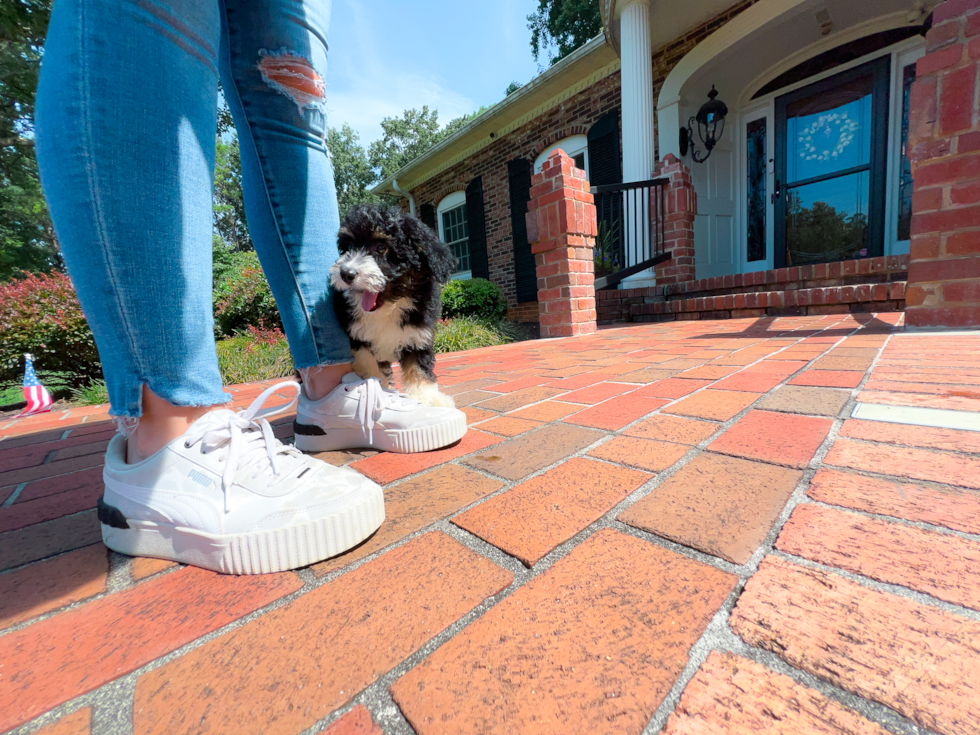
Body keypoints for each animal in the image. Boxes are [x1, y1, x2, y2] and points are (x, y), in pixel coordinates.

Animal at [332, 204, 458, 408]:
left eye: (381, 248)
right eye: (349, 247)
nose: (346, 273)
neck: (387, 308)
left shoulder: (417, 333)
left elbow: (418, 365)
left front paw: (427, 396)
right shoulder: (356, 338)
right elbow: (367, 363)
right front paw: (378, 390)